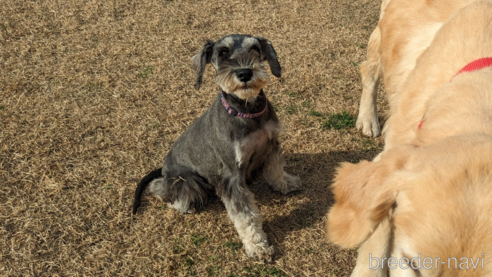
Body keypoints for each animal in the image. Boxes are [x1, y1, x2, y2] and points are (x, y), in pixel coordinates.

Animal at [133, 34, 302, 260]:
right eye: (223, 53)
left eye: (255, 49)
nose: (245, 72)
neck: (247, 110)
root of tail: (164, 169)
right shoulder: (232, 176)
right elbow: (245, 217)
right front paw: (257, 246)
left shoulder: (271, 144)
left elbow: (275, 169)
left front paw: (286, 183)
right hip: (188, 181)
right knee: (161, 188)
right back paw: (181, 203)